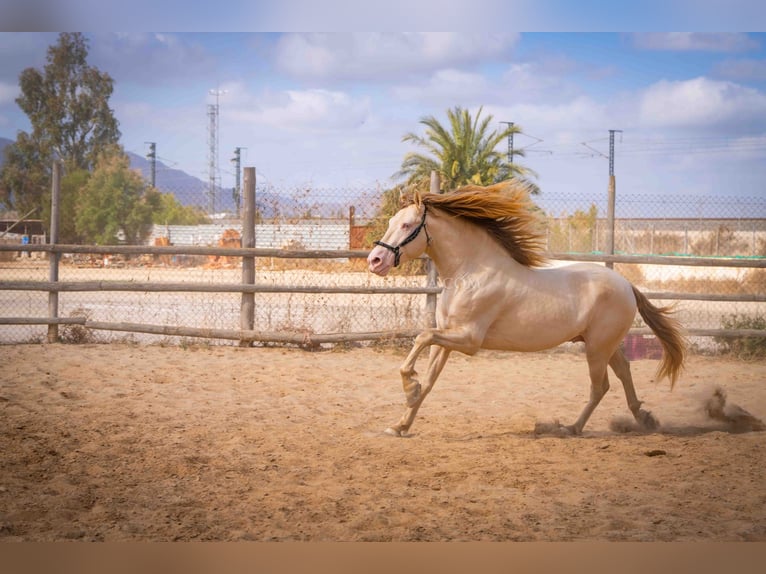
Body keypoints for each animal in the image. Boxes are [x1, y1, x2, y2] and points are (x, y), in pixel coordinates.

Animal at [368, 182, 688, 438]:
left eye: (407, 225)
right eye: (392, 221)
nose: (375, 260)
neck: (471, 272)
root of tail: (626, 285)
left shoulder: (468, 339)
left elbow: (421, 337)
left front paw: (409, 389)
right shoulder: (446, 339)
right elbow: (429, 380)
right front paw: (400, 424)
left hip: (597, 348)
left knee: (601, 386)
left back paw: (569, 428)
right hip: (603, 344)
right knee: (623, 372)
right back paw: (643, 419)